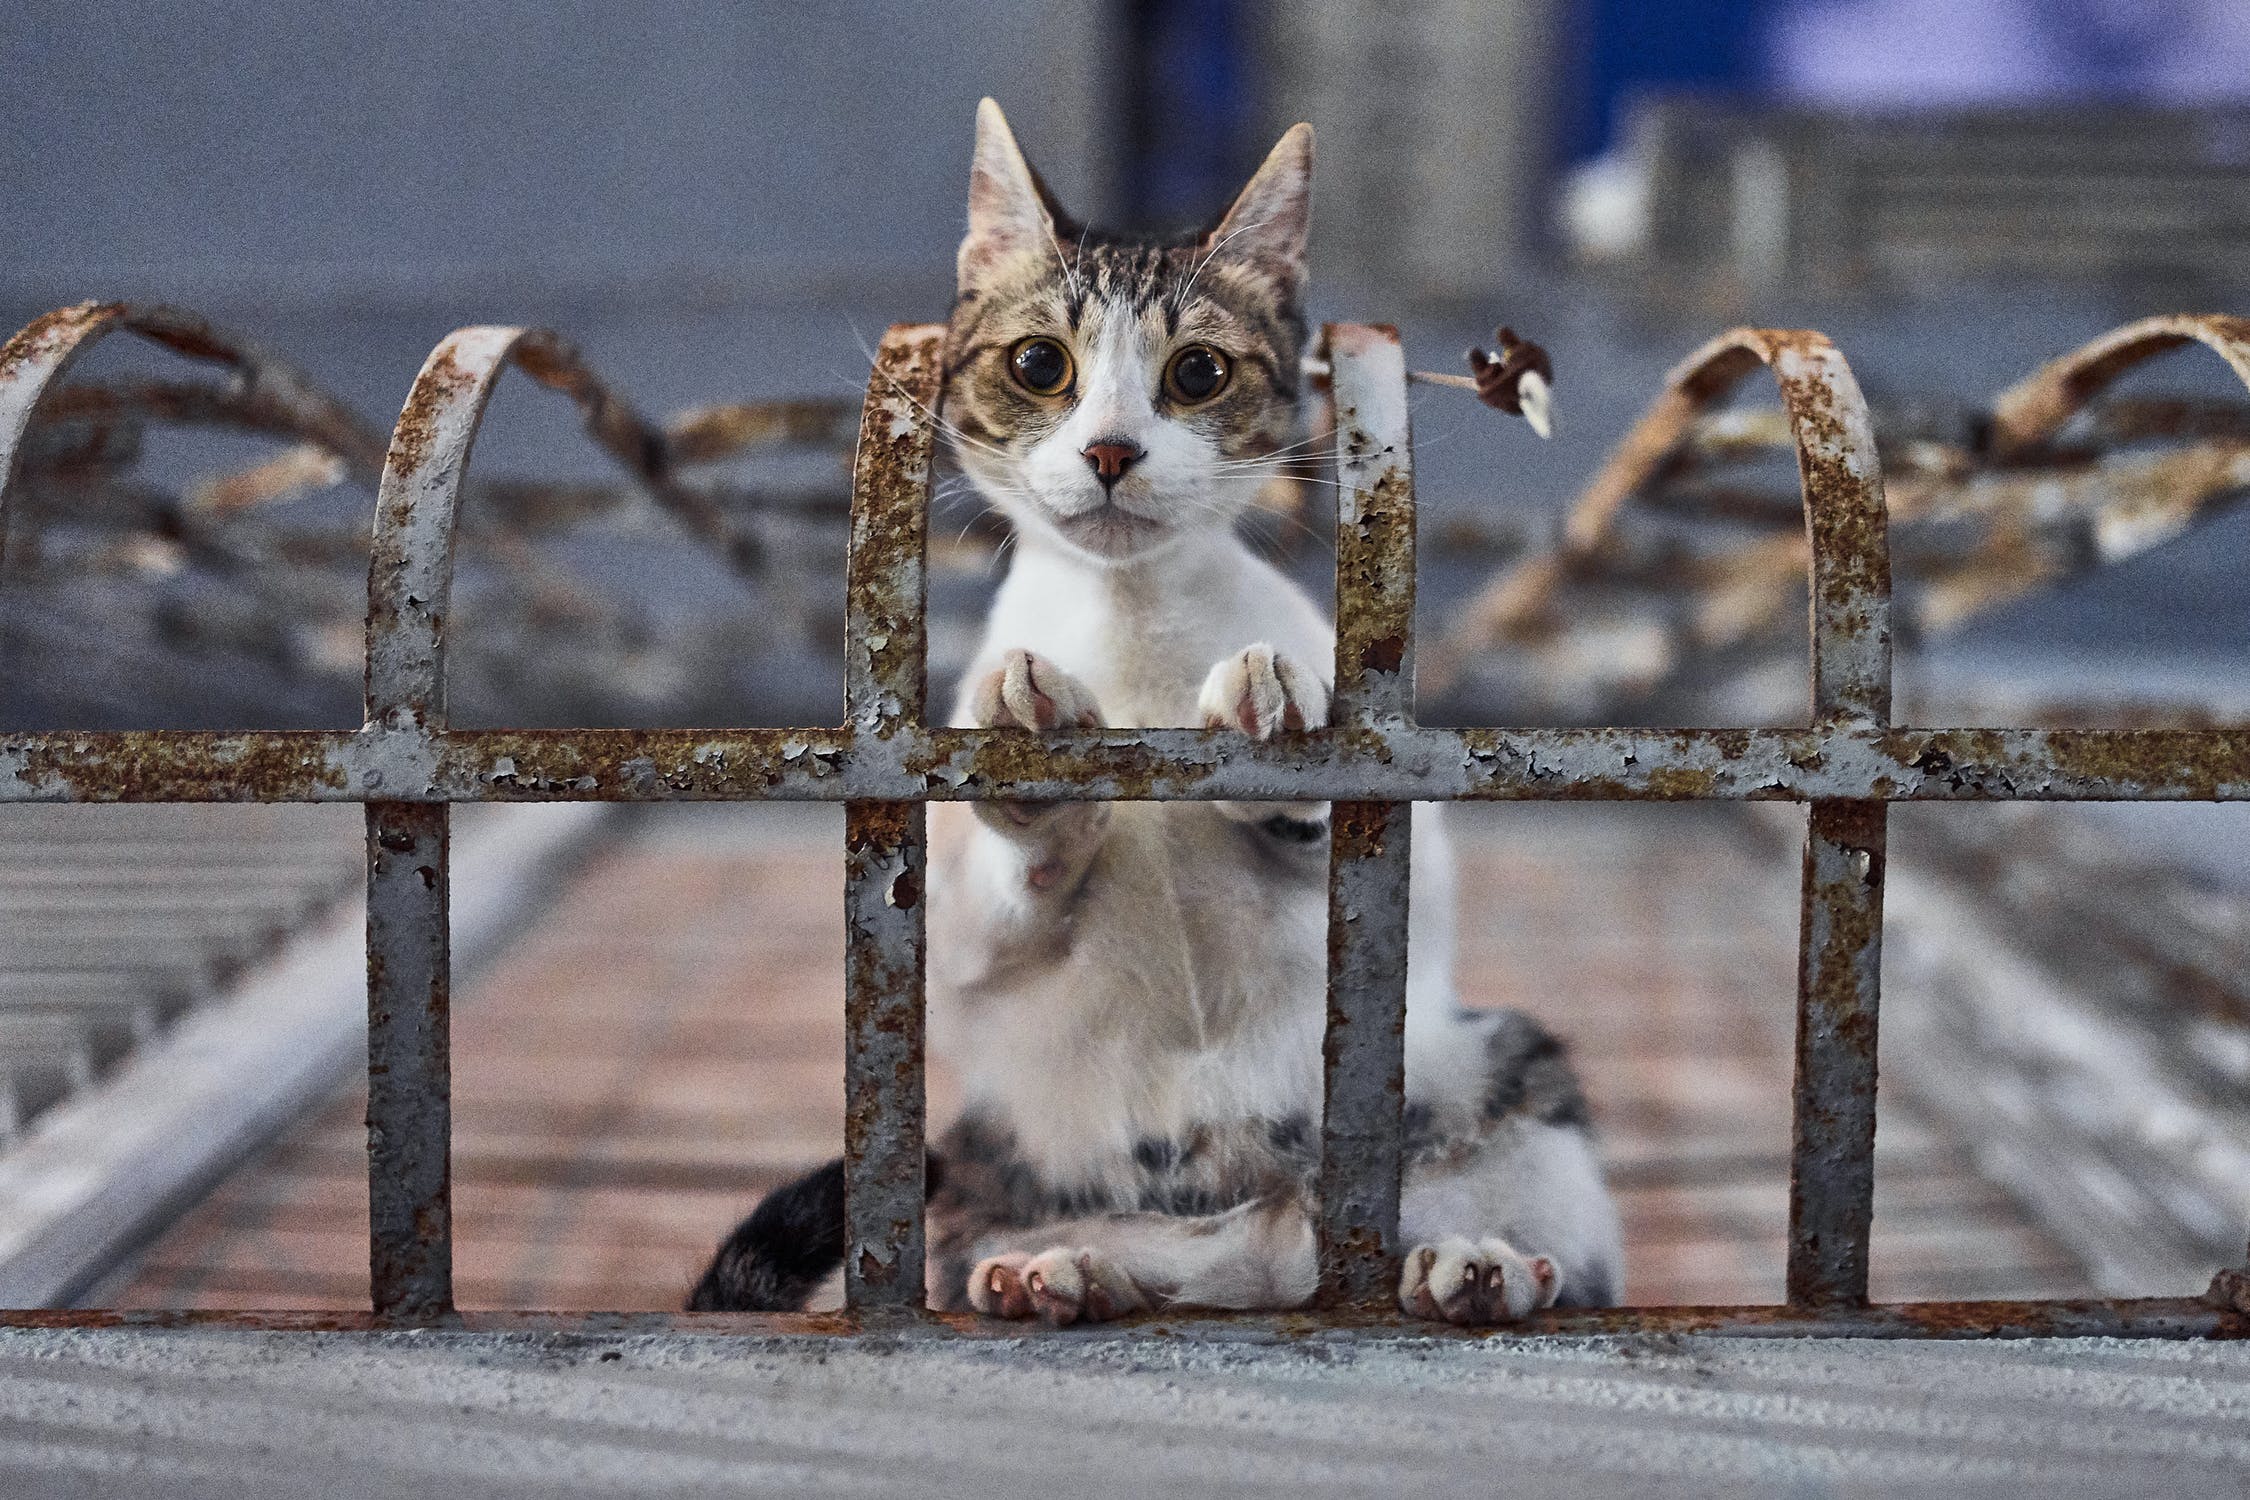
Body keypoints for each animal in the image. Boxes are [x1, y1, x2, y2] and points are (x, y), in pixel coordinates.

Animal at [688, 96, 1620, 1322]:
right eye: (1041, 363)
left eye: (1197, 372)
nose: (1110, 449)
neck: (1132, 626)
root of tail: (1275, 1251)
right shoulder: (948, 925)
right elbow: (989, 912)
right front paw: (1039, 773)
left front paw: (1280, 714)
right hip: (977, 1162)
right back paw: (1060, 1270)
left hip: (1500, 1069)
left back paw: (1475, 1267)